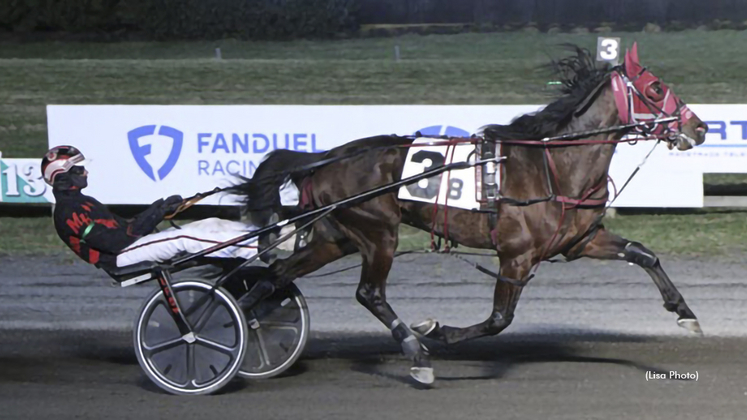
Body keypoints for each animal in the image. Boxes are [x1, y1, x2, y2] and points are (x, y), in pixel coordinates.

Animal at [231, 44, 712, 386]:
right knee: (369, 293)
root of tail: (323, 158)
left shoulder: (580, 240)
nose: (700, 127)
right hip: (378, 233)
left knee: (275, 276)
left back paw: (242, 323)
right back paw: (415, 353)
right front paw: (436, 332)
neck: (552, 166)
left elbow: (644, 254)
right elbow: (500, 319)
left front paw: (684, 311)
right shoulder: (516, 255)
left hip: (338, 236)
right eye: (655, 88)